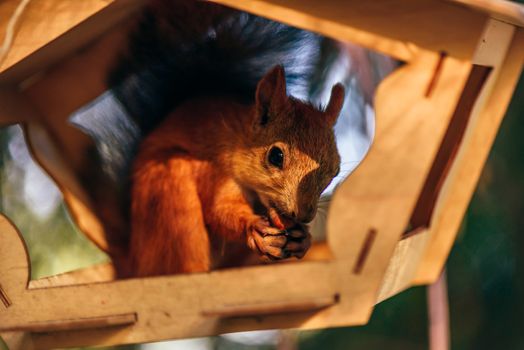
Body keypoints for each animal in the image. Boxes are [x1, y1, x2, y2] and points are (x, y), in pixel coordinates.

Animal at [128, 65, 344, 274]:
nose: (304, 215)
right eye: (276, 156)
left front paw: (303, 239)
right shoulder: (216, 168)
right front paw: (252, 224)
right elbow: (220, 208)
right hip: (170, 202)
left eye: (335, 171)